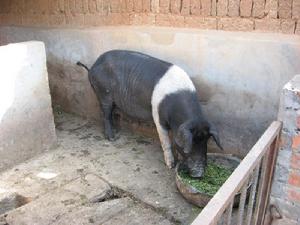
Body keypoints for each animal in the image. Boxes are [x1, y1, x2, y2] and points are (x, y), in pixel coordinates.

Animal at [77, 49, 223, 178]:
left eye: (205, 141)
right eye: (191, 143)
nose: (199, 174)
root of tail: (93, 65)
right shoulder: (157, 115)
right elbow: (165, 141)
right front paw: (170, 166)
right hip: (104, 92)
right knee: (105, 113)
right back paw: (112, 138)